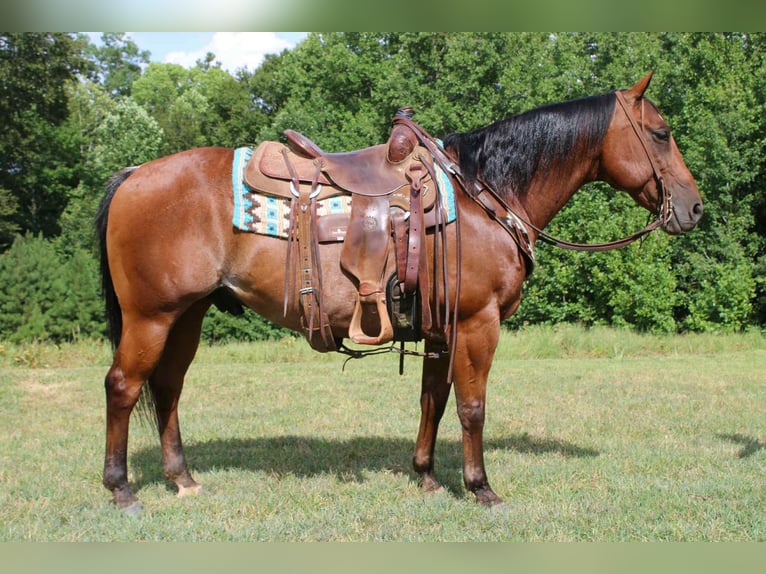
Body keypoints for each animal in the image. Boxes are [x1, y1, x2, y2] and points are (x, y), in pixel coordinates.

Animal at [96, 72, 702, 512]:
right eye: (661, 132)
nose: (694, 208)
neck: (484, 195)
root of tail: (132, 173)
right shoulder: (478, 322)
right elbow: (473, 407)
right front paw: (480, 487)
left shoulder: (440, 326)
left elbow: (434, 399)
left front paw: (427, 476)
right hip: (151, 316)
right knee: (124, 386)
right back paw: (121, 489)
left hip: (187, 315)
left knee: (168, 388)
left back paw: (183, 480)